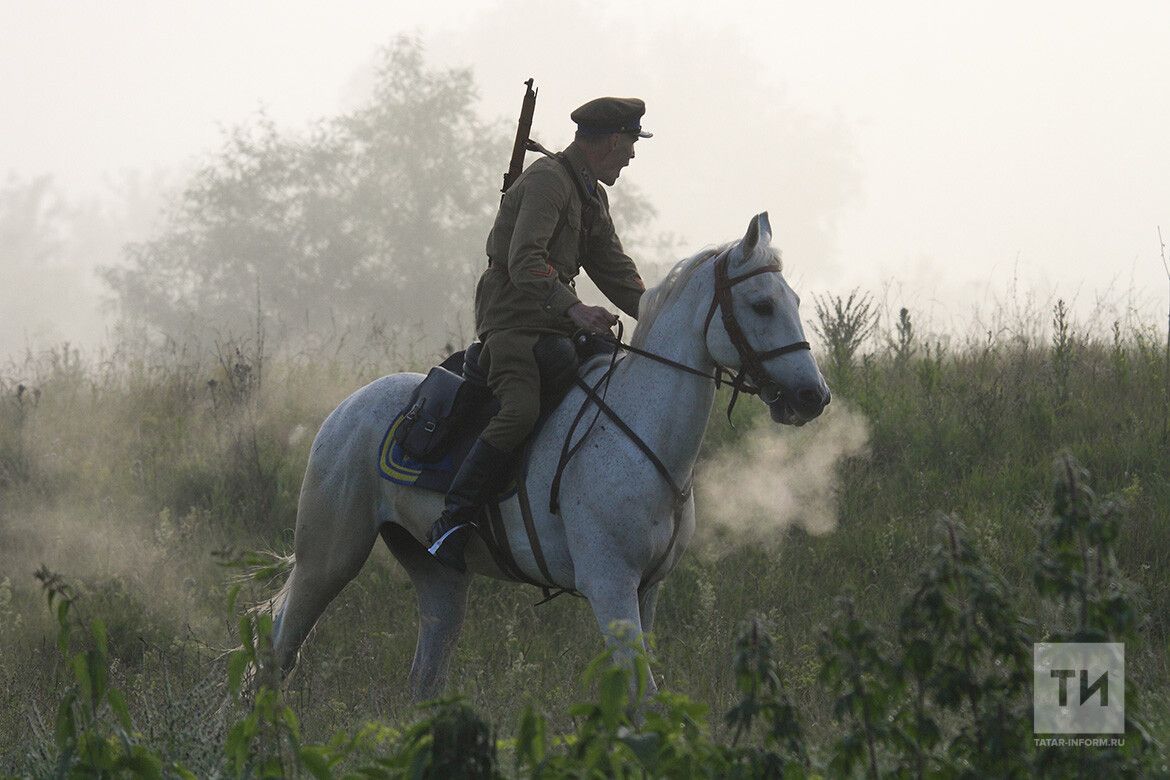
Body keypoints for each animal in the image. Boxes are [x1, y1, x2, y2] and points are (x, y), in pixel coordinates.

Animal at [269, 214, 828, 701]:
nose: (813, 397)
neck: (639, 433)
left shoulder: (647, 591)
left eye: (795, 300)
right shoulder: (610, 586)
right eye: (761, 305)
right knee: (281, 646)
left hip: (439, 578)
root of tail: (343, 410)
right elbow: (644, 695)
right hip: (329, 559)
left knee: (425, 675)